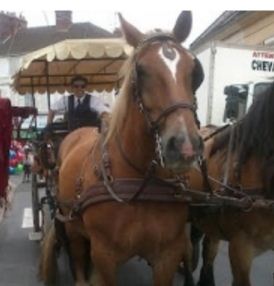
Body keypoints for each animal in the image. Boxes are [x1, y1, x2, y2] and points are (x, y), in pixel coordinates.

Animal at [39, 10, 204, 286]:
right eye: (141, 70)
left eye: (195, 72)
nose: (185, 146)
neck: (138, 181)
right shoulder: (104, 255)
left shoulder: (168, 254)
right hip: (72, 228)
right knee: (78, 261)